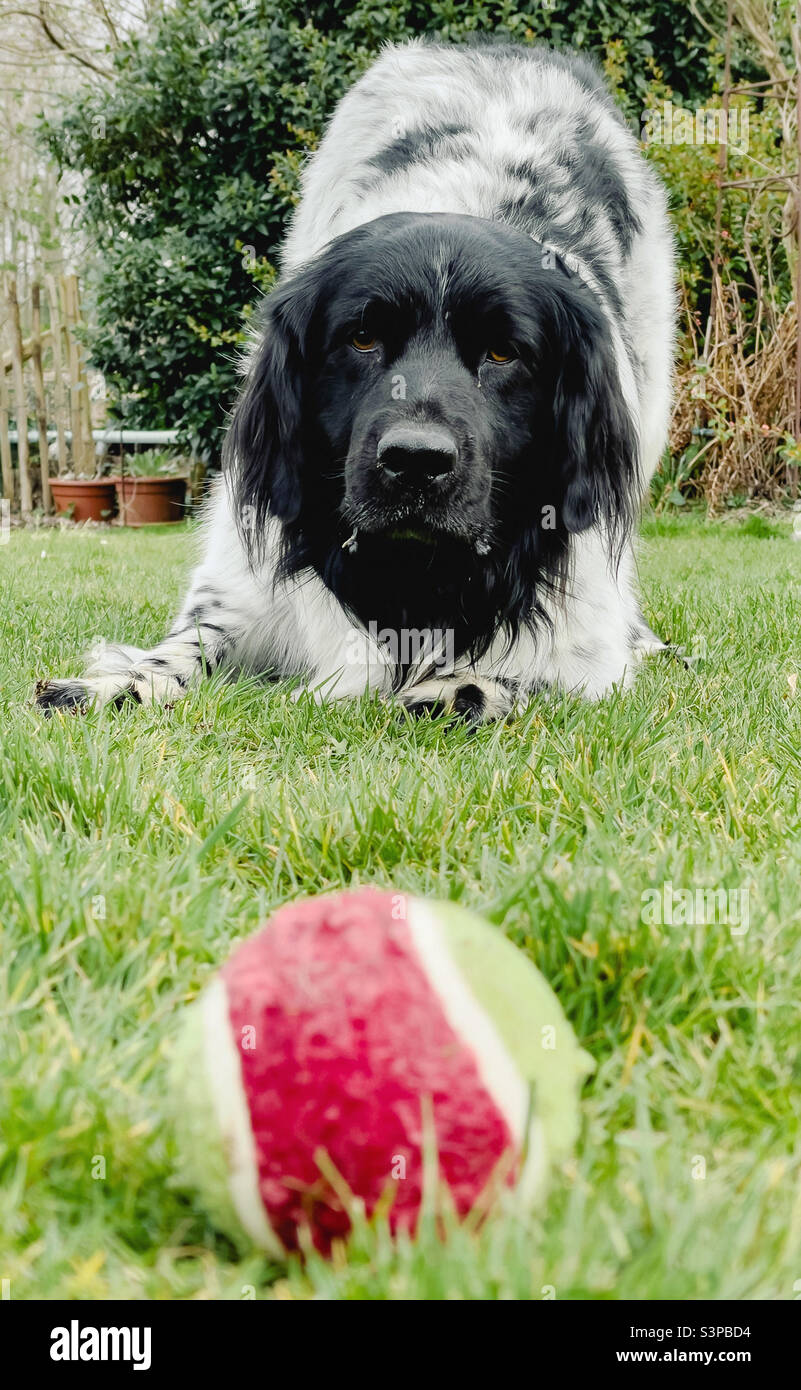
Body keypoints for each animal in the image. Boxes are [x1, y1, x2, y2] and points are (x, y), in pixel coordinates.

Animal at [37, 38, 675, 722]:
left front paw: (455, 689)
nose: (417, 461)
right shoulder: (244, 584)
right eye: (362, 339)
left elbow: (527, 671)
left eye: (503, 353)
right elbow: (189, 644)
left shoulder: (582, 634)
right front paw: (119, 682)